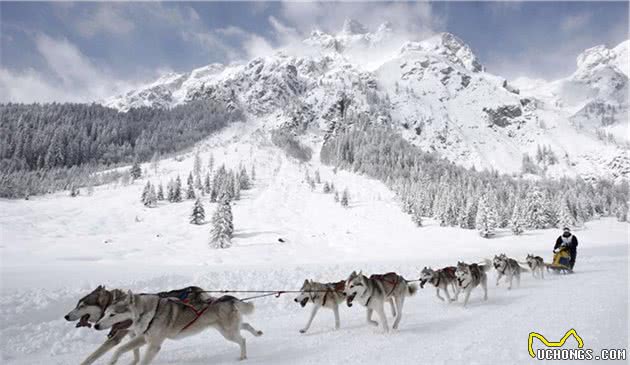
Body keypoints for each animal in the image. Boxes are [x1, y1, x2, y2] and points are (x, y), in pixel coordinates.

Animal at [65, 284, 206, 364]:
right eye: (77, 305)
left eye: (82, 306)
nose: (66, 316)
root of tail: (199, 290)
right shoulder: (134, 334)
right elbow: (135, 353)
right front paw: (134, 361)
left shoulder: (116, 338)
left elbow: (92, 356)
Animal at [94, 288, 262, 362]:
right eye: (105, 313)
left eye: (113, 315)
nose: (96, 326)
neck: (150, 312)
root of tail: (227, 298)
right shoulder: (143, 338)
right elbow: (119, 350)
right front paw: (112, 361)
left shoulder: (154, 345)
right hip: (229, 329)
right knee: (246, 325)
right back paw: (257, 333)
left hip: (228, 333)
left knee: (242, 340)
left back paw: (243, 356)